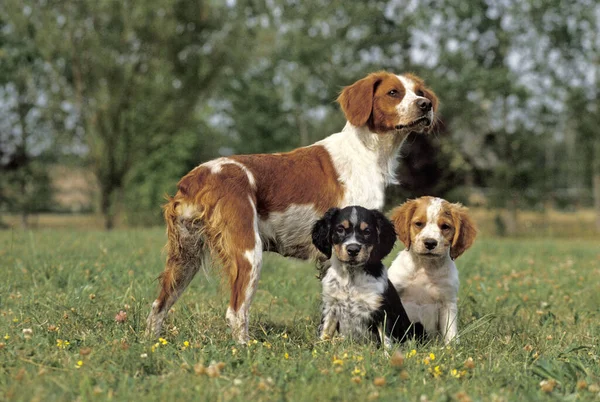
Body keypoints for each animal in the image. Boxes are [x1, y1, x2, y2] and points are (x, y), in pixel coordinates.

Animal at [312, 206, 424, 348]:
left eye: (367, 231)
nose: (353, 249)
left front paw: (388, 354)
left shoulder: (382, 311)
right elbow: (324, 333)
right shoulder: (330, 307)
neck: (351, 276)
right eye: (340, 229)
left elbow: (387, 340)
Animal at [386, 196, 476, 344]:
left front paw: (452, 347)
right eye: (418, 224)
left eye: (445, 226)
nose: (430, 242)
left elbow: (450, 332)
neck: (425, 267)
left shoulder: (447, 302)